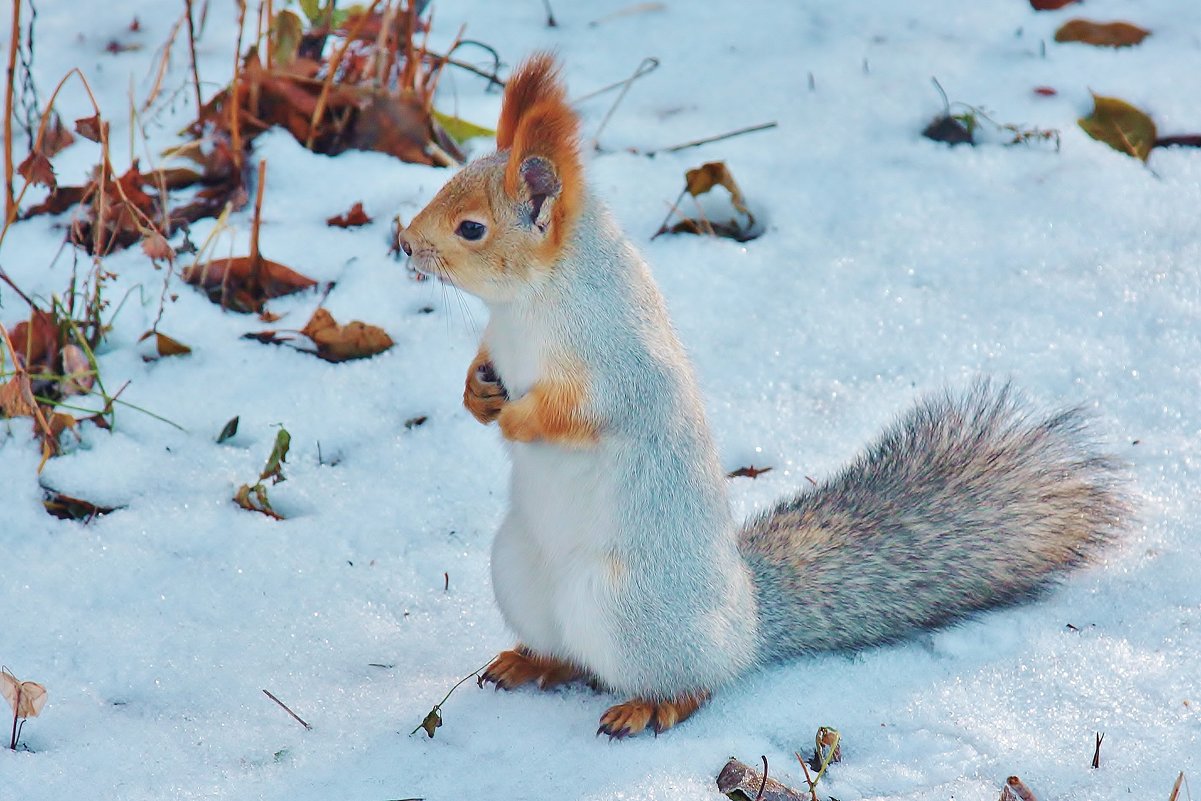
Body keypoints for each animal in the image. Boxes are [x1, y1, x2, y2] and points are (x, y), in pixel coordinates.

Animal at [401, 50, 1124, 739]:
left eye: (471, 229)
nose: (403, 242)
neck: (527, 305)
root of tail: (746, 626)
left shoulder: (620, 363)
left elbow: (587, 410)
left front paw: (517, 421)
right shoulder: (502, 339)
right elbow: (484, 365)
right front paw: (477, 393)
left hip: (629, 609)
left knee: (689, 683)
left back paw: (651, 705)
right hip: (517, 573)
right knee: (572, 658)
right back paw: (531, 661)